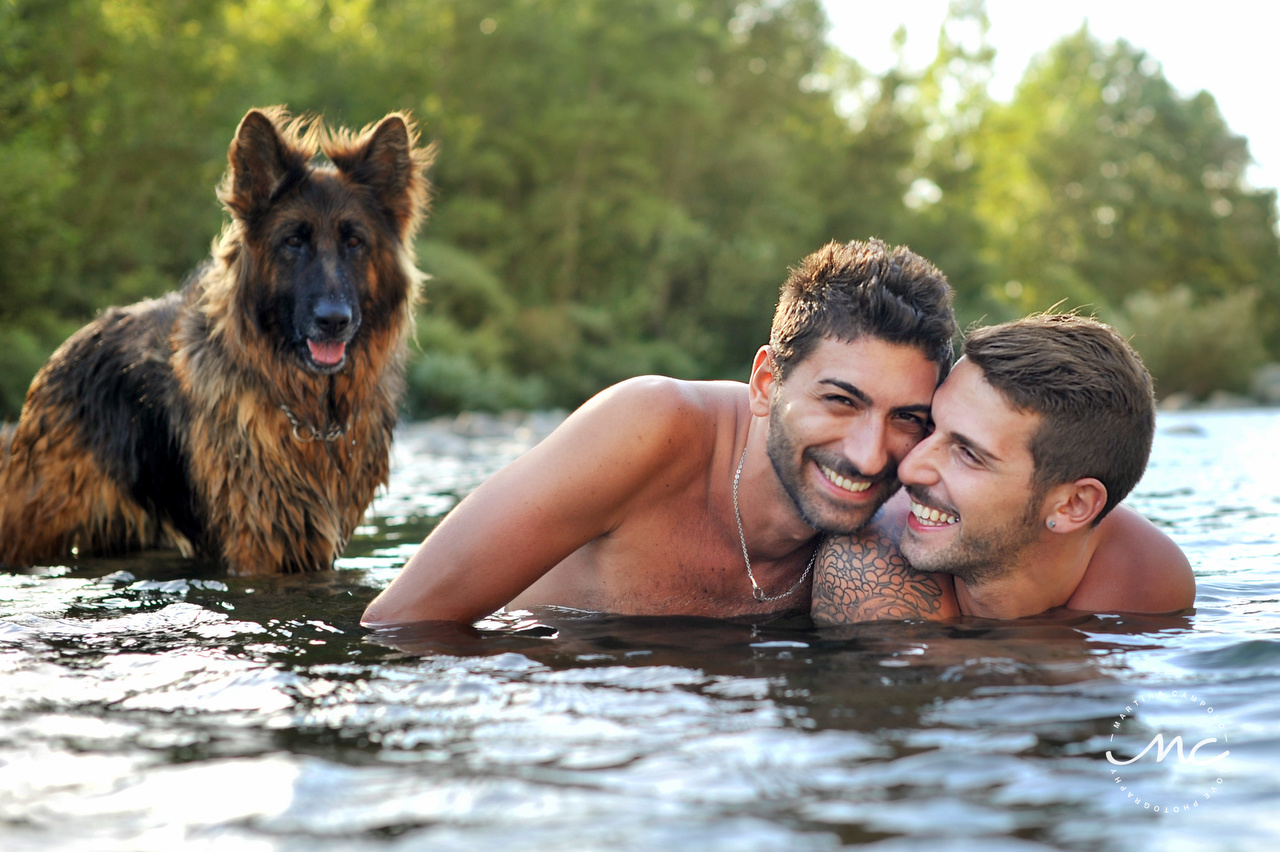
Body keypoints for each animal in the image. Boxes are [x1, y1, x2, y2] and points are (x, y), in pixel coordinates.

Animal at [0, 106, 435, 570]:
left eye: (354, 241)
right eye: (293, 241)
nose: (333, 320)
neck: (309, 413)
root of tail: (69, 347)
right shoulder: (261, 540)